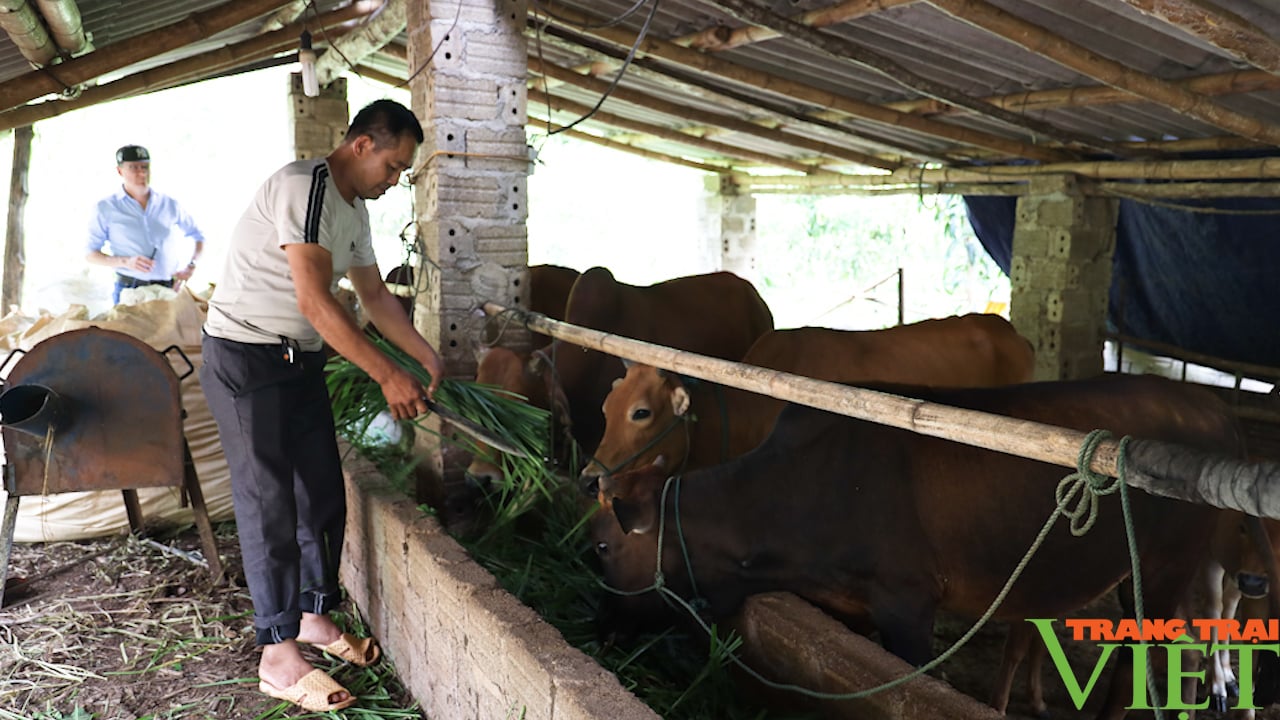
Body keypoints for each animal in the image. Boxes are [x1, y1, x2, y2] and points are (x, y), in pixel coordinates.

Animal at [593, 376, 1244, 717]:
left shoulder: (906, 601)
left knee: (1147, 652)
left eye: (600, 547)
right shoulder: (846, 601)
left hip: (1164, 565)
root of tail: (1207, 404)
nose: (596, 627)